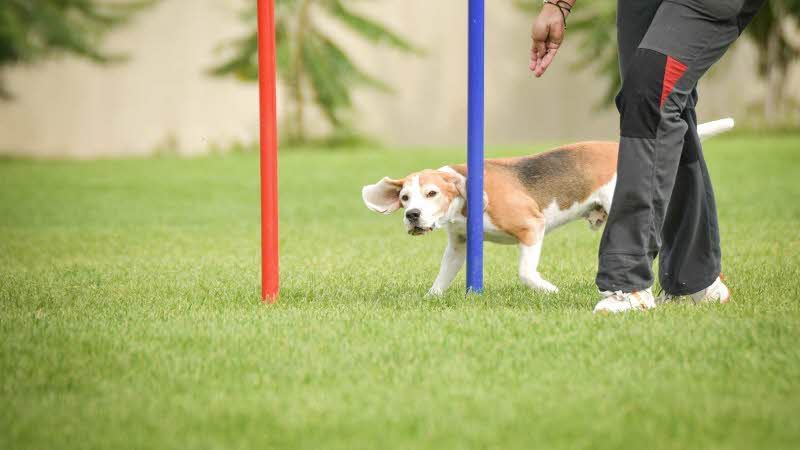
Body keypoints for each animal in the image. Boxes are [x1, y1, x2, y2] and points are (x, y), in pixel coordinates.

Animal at [366, 119, 736, 296]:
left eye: (431, 193)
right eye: (405, 198)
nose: (412, 216)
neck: (463, 201)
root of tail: (617, 148)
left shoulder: (532, 227)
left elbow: (525, 272)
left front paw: (548, 290)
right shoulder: (459, 246)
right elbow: (442, 277)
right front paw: (431, 298)